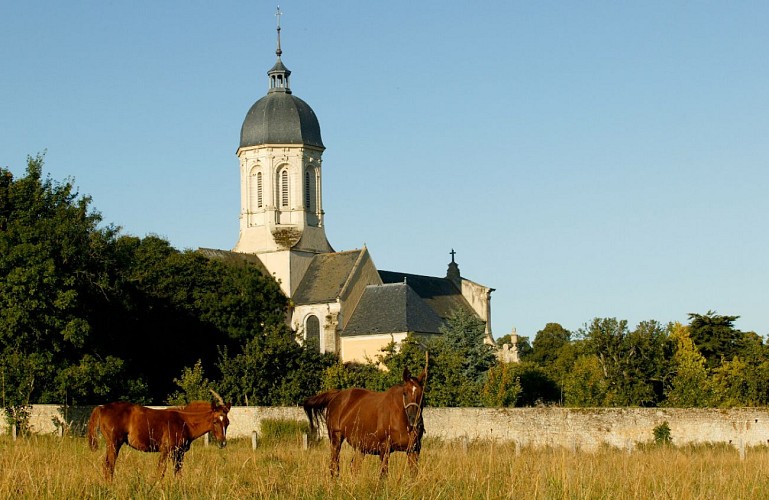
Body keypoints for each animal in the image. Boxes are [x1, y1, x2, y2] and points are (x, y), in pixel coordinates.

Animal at [87, 390, 230, 480]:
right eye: (215, 421)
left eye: (227, 423)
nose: (222, 443)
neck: (183, 421)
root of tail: (102, 407)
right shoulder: (166, 450)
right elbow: (161, 471)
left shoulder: (179, 453)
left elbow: (177, 472)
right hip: (114, 444)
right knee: (109, 466)